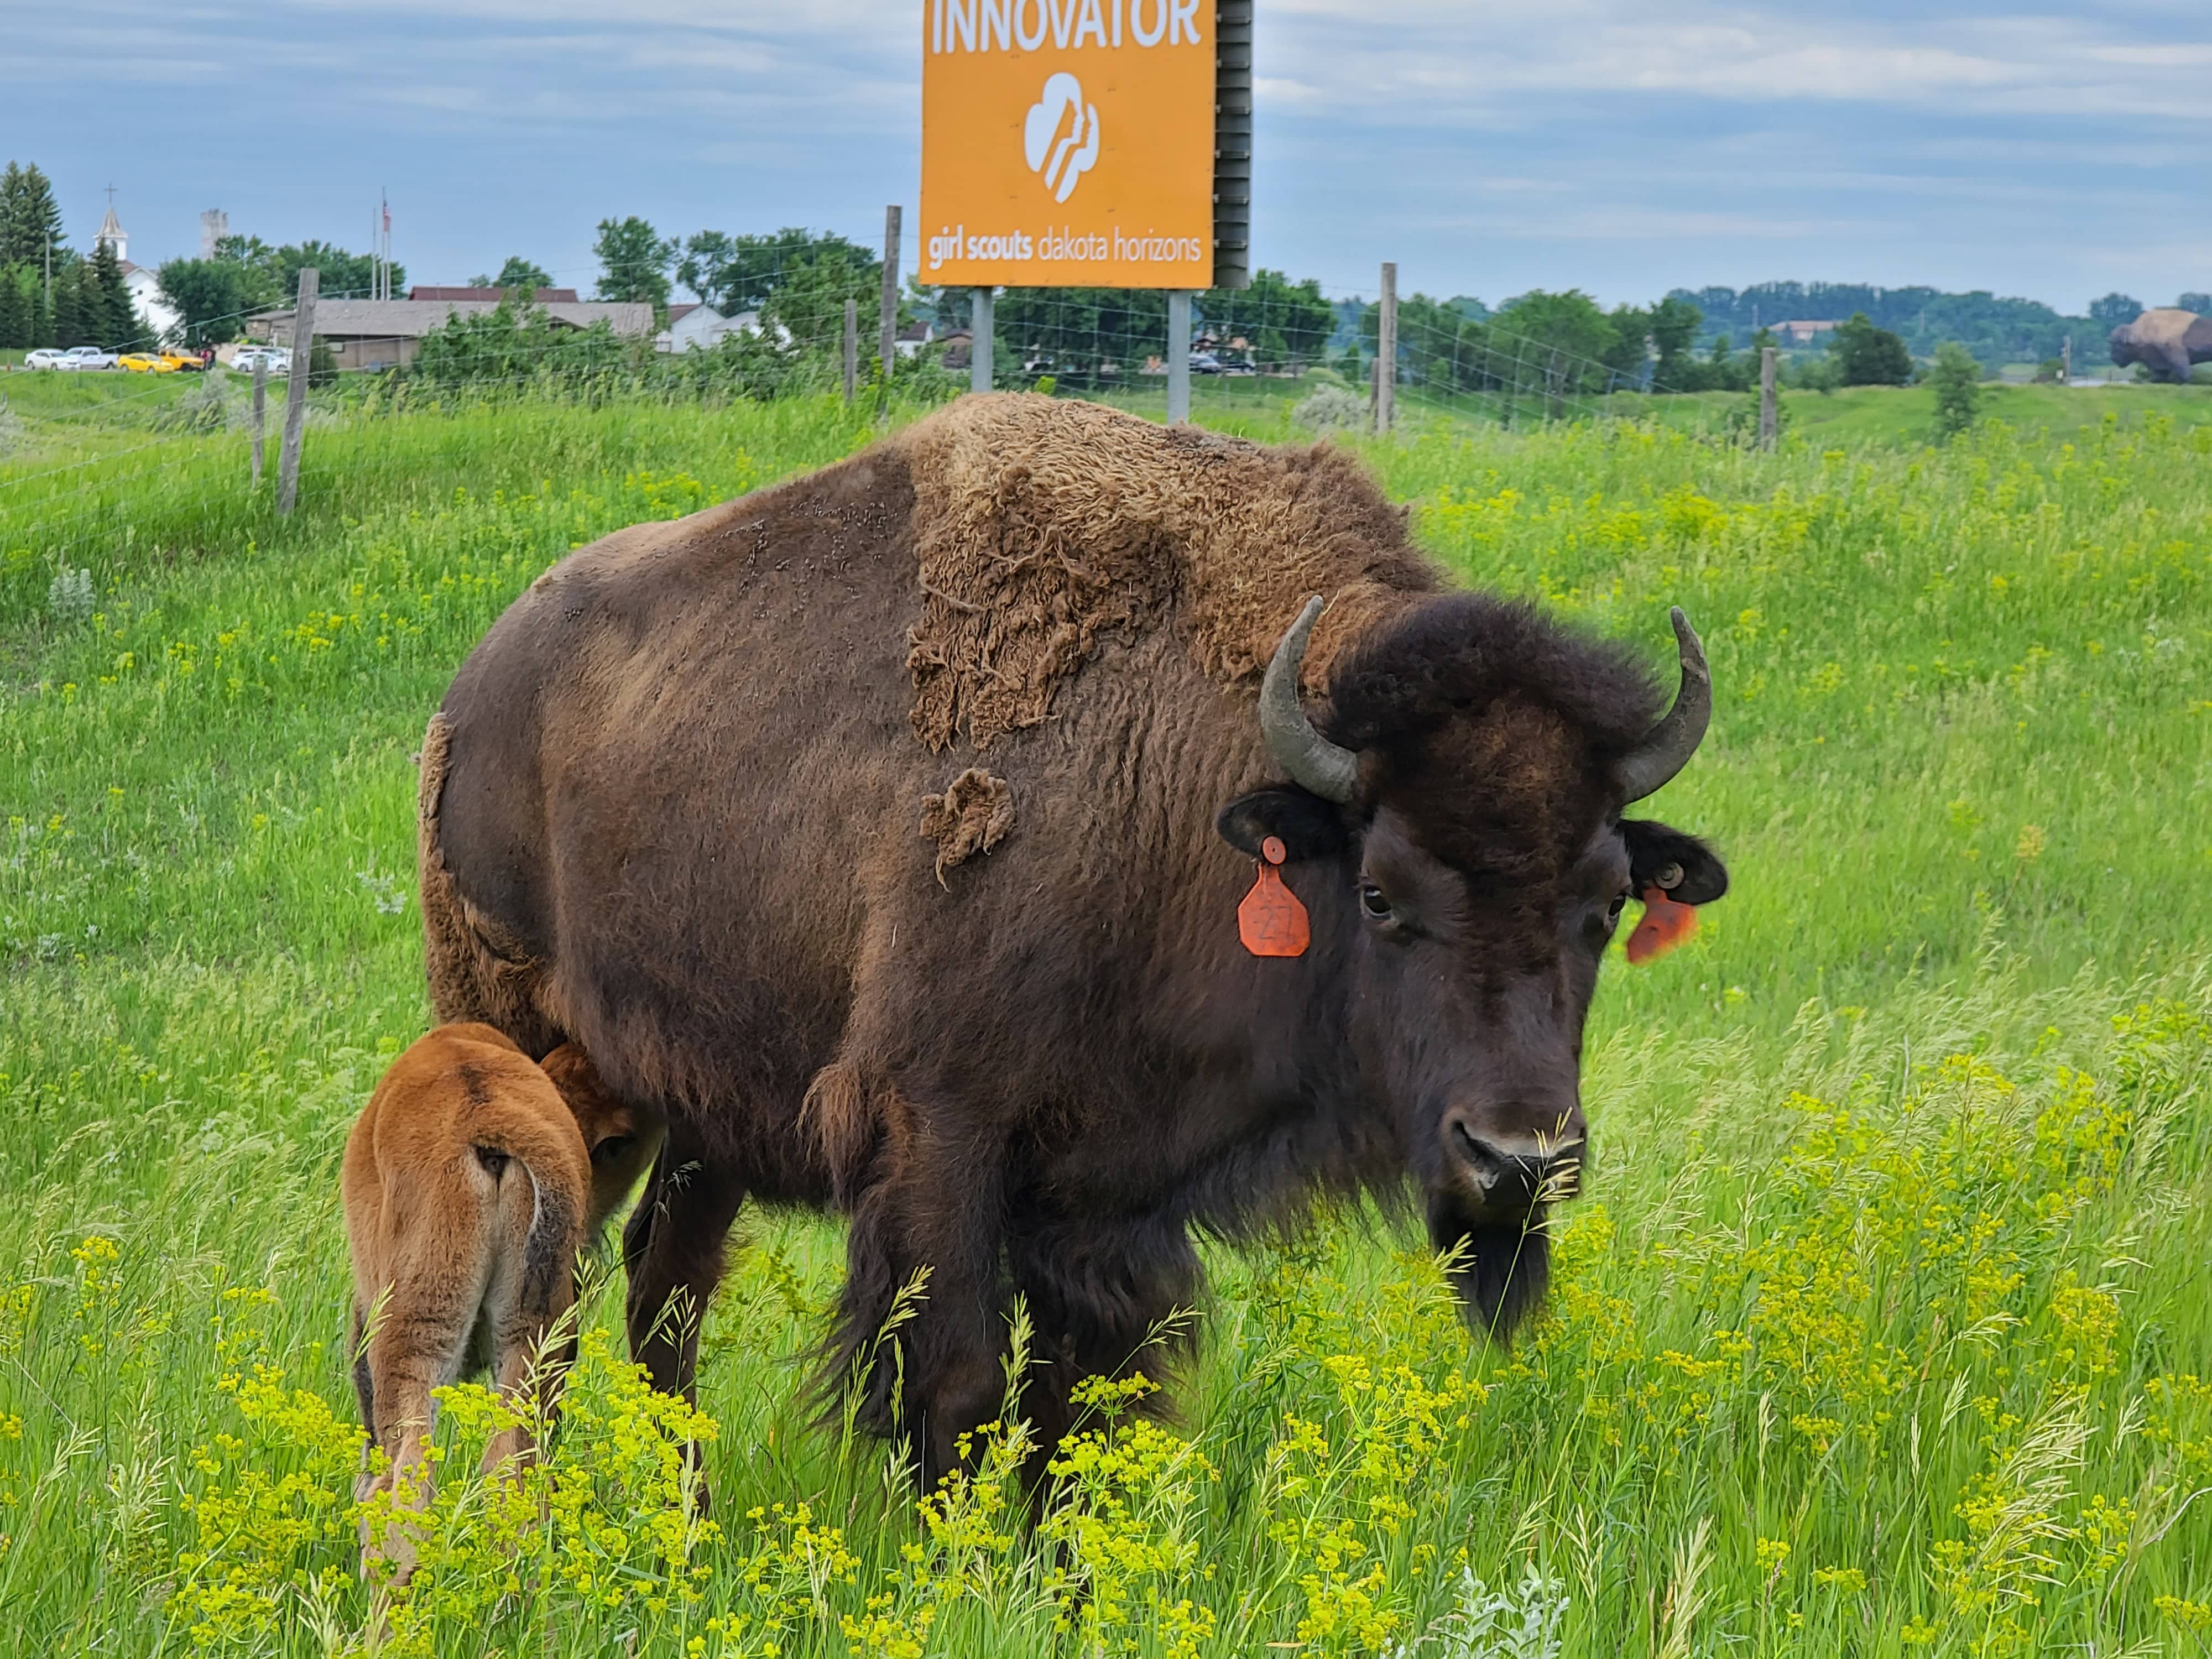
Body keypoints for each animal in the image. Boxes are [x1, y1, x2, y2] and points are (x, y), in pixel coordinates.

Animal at [416, 400, 1725, 1495]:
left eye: (1606, 900)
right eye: (1379, 893)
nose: (1518, 1160)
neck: (1193, 788)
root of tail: (477, 682)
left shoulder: (1104, 1195)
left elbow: (1081, 1406)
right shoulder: (940, 1135)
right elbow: (954, 1389)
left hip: (698, 1110)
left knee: (663, 1283)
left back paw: (678, 1515)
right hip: (524, 1044)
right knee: (550, 1294)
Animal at [2106, 310, 2212, 385]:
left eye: (2116, 344)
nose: (2113, 358)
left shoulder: (2176, 354)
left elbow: (2183, 371)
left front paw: (2183, 383)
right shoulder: (2159, 363)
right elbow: (2159, 375)